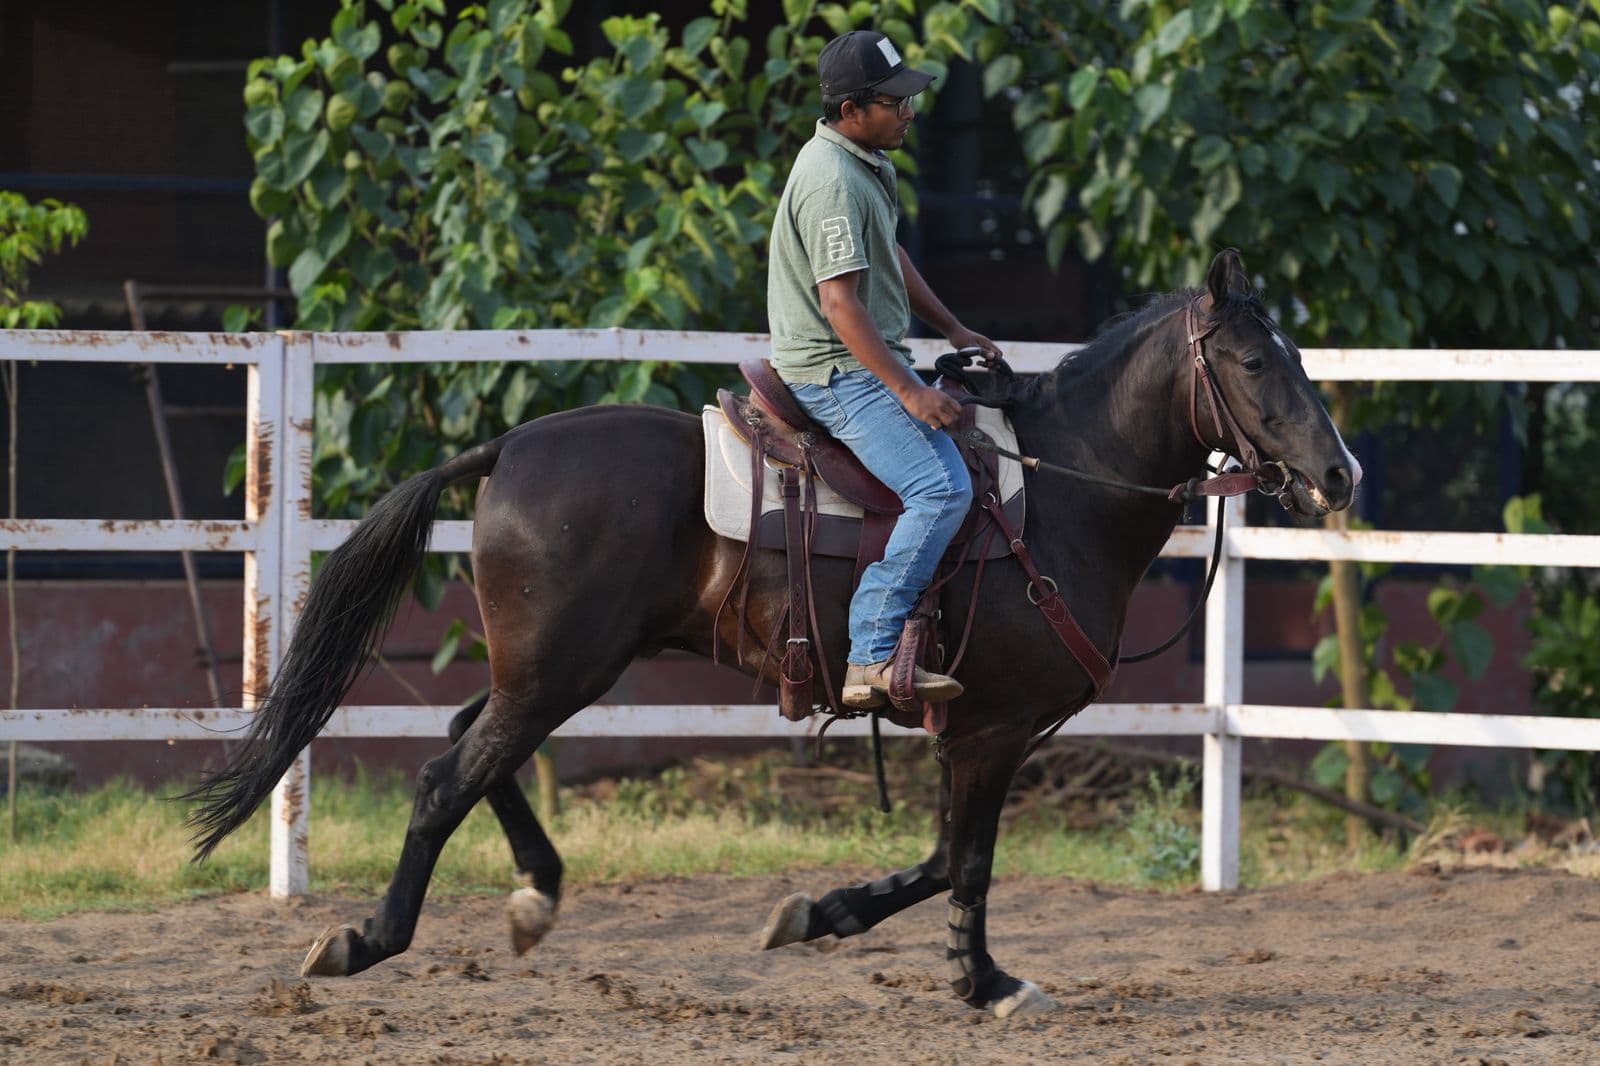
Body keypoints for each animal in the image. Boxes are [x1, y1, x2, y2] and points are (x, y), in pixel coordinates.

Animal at [184, 249, 1359, 1018]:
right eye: (1254, 362)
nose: (1340, 472)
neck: (1059, 491)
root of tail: (505, 449)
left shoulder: (976, 729)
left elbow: (942, 856)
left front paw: (822, 917)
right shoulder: (993, 729)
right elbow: (968, 861)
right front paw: (984, 982)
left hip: (550, 667)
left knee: (472, 747)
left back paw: (534, 898)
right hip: (560, 668)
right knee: (445, 779)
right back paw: (364, 941)